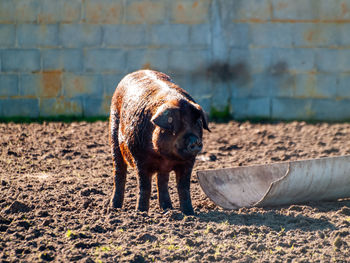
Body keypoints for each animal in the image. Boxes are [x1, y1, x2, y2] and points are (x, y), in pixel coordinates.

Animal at [109, 70, 209, 217]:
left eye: (197, 122)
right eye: (174, 124)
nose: (194, 140)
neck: (165, 156)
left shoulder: (189, 162)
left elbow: (184, 188)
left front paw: (190, 214)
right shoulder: (140, 159)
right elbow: (145, 187)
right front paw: (141, 213)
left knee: (162, 180)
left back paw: (168, 209)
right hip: (114, 136)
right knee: (119, 174)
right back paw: (114, 208)